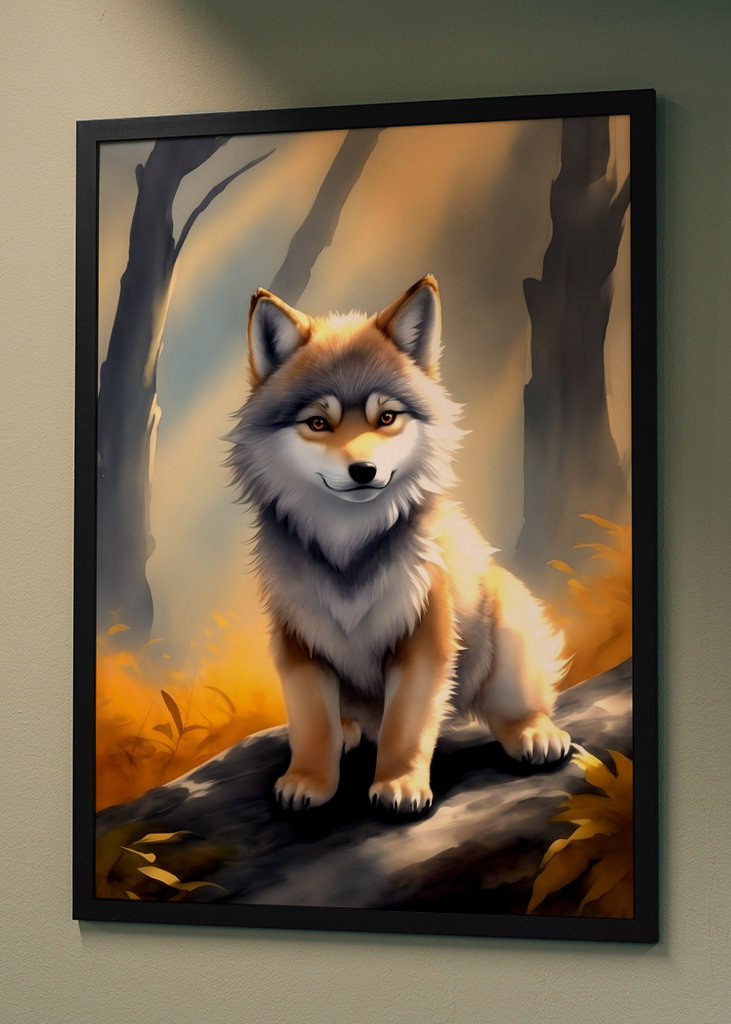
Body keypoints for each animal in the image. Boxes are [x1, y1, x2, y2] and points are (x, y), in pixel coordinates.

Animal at [226, 275, 570, 814]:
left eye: (386, 417)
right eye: (318, 423)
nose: (363, 470)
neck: (349, 549)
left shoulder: (423, 638)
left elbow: (405, 727)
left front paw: (399, 783)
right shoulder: (299, 641)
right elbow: (312, 725)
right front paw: (309, 779)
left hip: (505, 613)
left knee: (509, 706)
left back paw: (535, 733)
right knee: (349, 723)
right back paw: (349, 730)